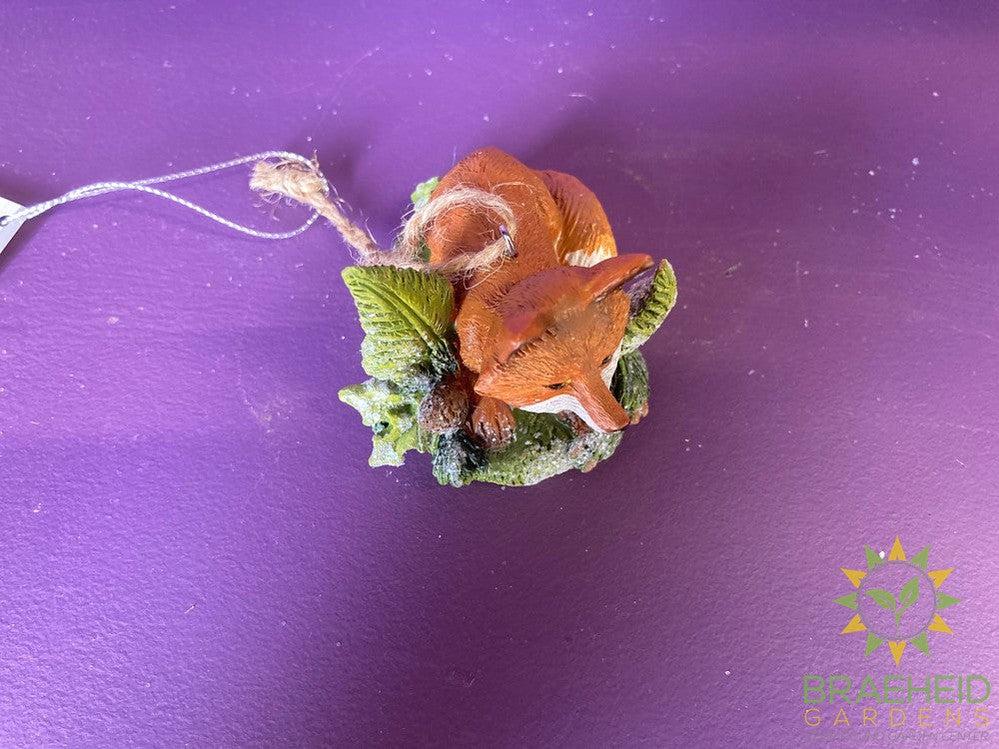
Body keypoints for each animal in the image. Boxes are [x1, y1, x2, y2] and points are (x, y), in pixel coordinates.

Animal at [422, 147, 654, 449]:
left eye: (605, 359)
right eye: (555, 385)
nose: (618, 424)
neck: (512, 274)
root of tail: (486, 151)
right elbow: (473, 377)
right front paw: (491, 411)